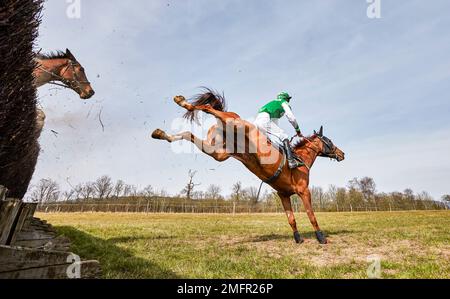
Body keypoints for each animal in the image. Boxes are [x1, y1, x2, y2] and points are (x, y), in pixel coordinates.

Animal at [151, 89, 344, 244]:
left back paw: (161, 133)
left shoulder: (283, 194)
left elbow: (291, 219)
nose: (342, 154)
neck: (302, 158)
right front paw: (321, 237)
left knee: (188, 133)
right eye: (329, 141)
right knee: (208, 108)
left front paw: (298, 239)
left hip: (218, 152)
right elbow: (311, 215)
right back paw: (183, 103)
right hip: (234, 123)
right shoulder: (304, 191)